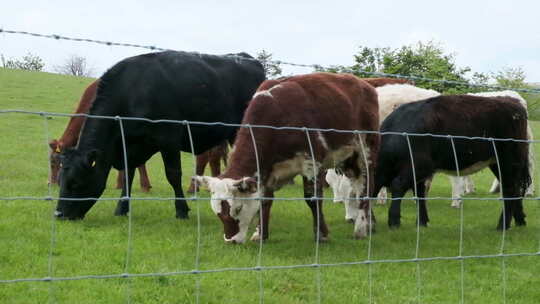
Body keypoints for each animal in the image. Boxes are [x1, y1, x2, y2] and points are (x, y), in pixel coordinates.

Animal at [53, 50, 264, 221]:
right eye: (61, 180)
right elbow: (128, 174)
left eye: (75, 182)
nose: (58, 214)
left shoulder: (168, 138)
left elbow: (173, 174)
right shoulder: (131, 145)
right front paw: (122, 208)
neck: (132, 91)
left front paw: (181, 210)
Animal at [195, 72, 380, 243]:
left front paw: (321, 235)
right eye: (217, 212)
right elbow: (264, 201)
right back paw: (369, 223)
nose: (231, 240)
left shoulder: (311, 163)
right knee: (357, 185)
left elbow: (312, 199)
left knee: (366, 188)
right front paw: (260, 234)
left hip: (366, 152)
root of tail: (364, 84)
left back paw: (361, 228)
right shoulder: (267, 170)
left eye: (238, 209)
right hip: (347, 159)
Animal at [374, 95, 528, 230]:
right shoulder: (418, 173)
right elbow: (419, 194)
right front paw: (422, 223)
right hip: (496, 162)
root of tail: (512, 101)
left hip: (508, 159)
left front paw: (394, 221)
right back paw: (520, 221)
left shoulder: (420, 166)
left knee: (510, 189)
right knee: (515, 189)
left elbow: (398, 186)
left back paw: (502, 226)